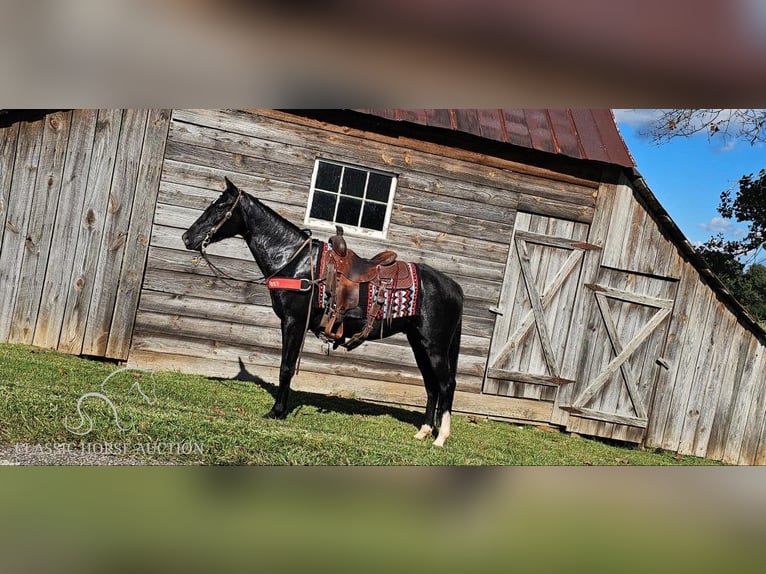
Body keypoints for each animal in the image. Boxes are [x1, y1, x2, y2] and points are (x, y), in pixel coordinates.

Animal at [183, 178, 464, 448]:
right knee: (431, 385)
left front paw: (277, 412)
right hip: (418, 342)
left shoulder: (293, 322)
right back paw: (424, 432)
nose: (187, 238)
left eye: (220, 207)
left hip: (434, 345)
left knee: (446, 384)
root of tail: (455, 288)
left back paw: (441, 438)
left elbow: (286, 367)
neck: (296, 263)